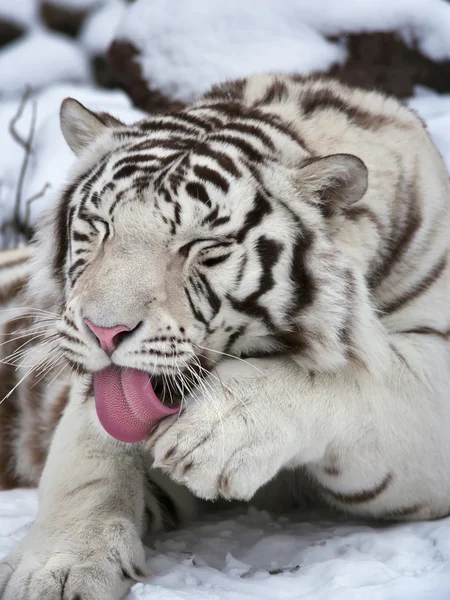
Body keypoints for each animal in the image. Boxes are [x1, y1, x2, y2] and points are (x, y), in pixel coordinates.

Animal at [0, 75, 450, 600]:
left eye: (201, 246)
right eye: (100, 226)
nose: (104, 330)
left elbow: (362, 382)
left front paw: (214, 434)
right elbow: (90, 457)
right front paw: (56, 569)